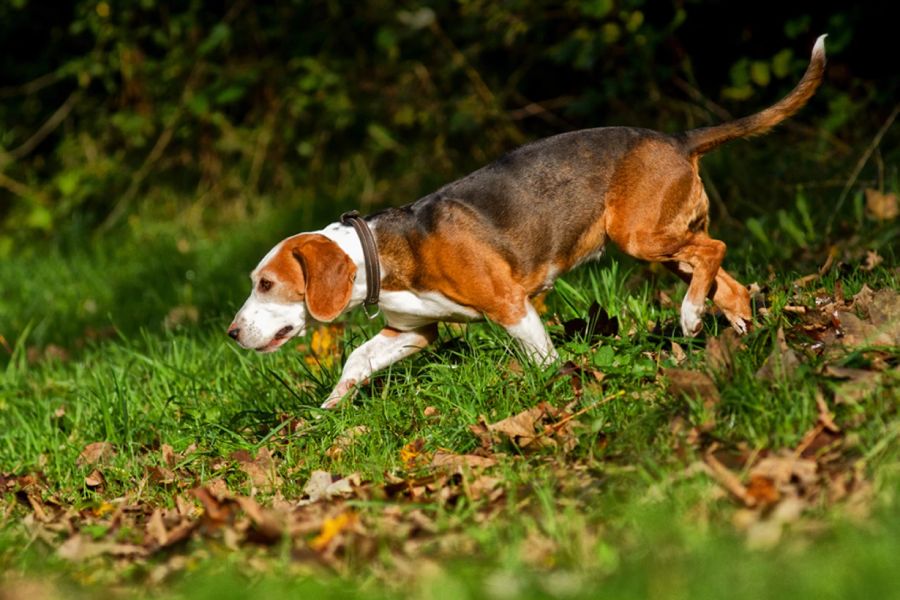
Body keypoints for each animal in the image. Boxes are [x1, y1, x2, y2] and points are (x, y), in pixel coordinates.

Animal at [229, 34, 828, 408]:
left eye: (267, 284)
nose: (232, 334)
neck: (379, 252)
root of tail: (678, 139)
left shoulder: (510, 305)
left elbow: (541, 358)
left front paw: (553, 392)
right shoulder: (411, 331)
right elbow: (356, 357)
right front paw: (332, 406)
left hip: (640, 239)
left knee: (715, 250)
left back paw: (687, 316)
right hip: (670, 245)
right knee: (727, 280)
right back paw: (737, 332)